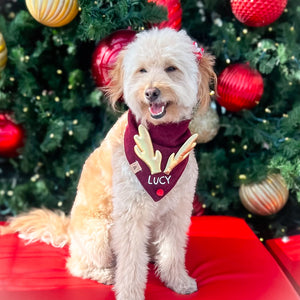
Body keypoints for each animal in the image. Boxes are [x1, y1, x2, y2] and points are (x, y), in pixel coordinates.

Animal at [0, 28, 216, 300]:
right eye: (142, 70)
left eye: (171, 68)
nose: (151, 92)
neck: (162, 141)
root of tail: (69, 231)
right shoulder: (131, 215)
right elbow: (131, 263)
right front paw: (130, 293)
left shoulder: (176, 212)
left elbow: (173, 251)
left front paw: (177, 280)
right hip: (100, 233)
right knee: (77, 265)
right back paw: (105, 274)